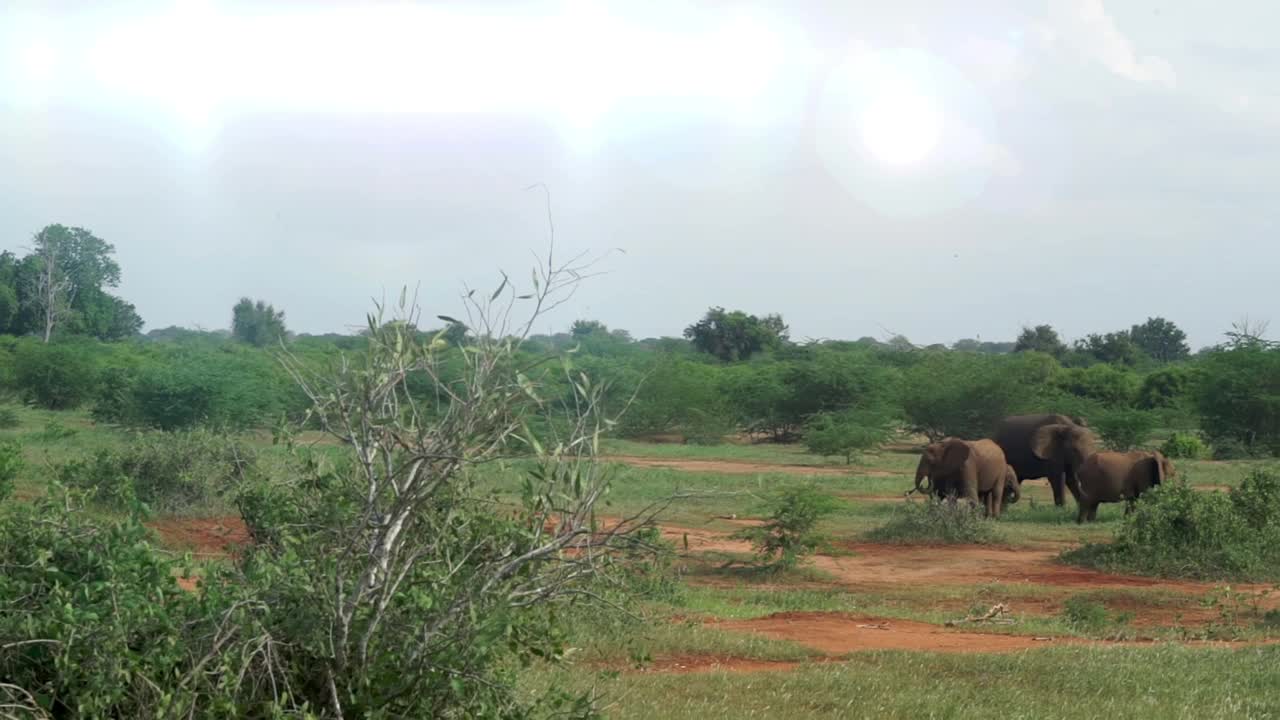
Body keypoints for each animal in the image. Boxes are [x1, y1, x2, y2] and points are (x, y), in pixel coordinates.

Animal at [1034, 420, 1172, 520]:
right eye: (1173, 474)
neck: (1153, 456)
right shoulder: (1143, 473)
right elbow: (1145, 496)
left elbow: (1134, 499)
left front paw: (1128, 519)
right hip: (1090, 481)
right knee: (1087, 501)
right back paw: (1081, 522)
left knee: (1093, 503)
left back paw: (1090, 521)